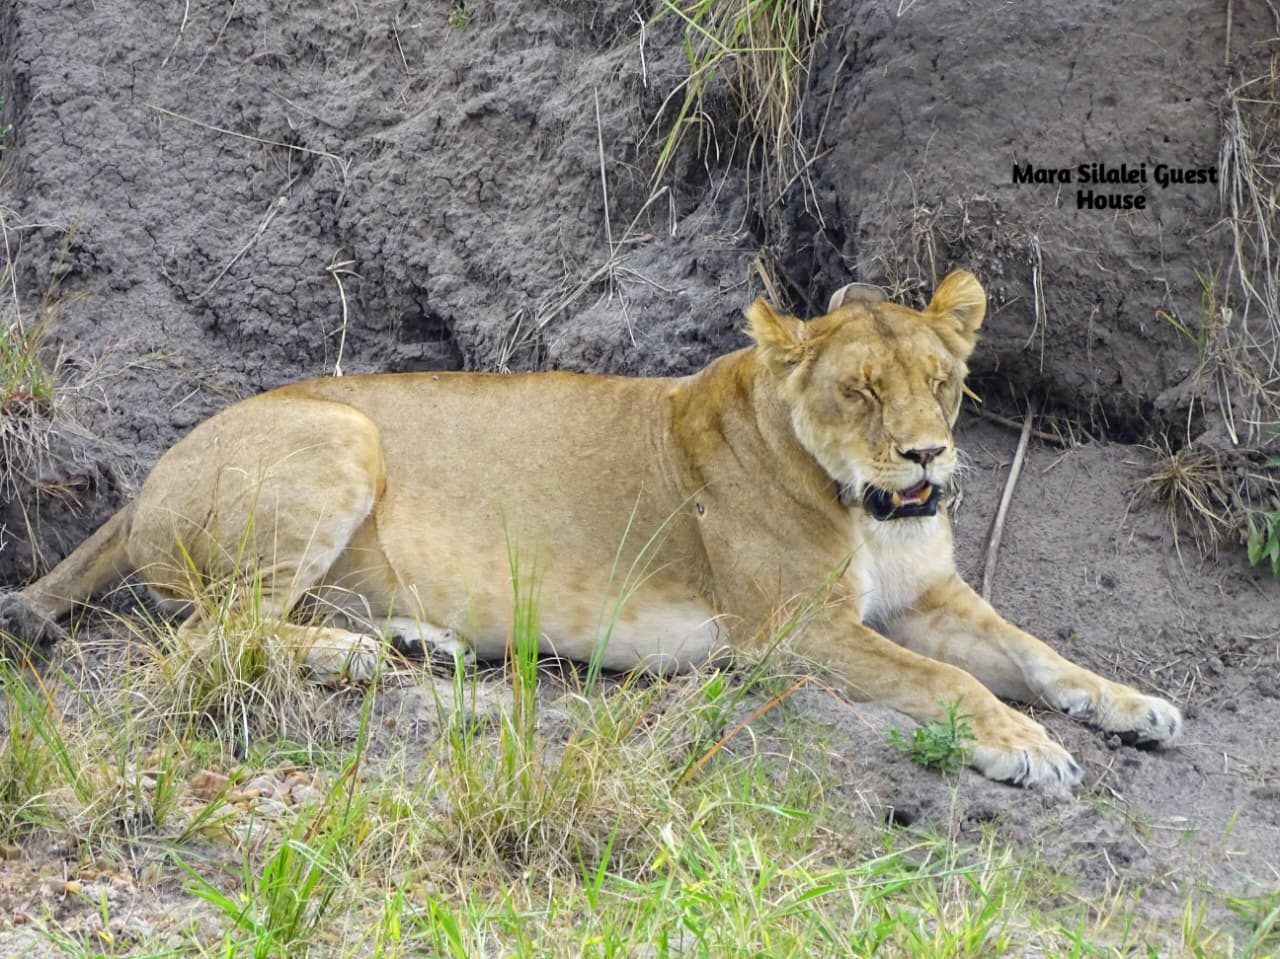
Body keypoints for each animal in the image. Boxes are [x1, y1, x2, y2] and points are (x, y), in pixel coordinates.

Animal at [0, 270, 1181, 786]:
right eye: (859, 391)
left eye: (940, 384)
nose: (927, 456)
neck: (870, 511)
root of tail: (147, 475)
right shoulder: (790, 631)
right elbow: (948, 683)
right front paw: (1029, 748)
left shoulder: (930, 595)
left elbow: (1038, 652)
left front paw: (1136, 706)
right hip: (341, 434)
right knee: (206, 637)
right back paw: (356, 656)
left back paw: (413, 638)